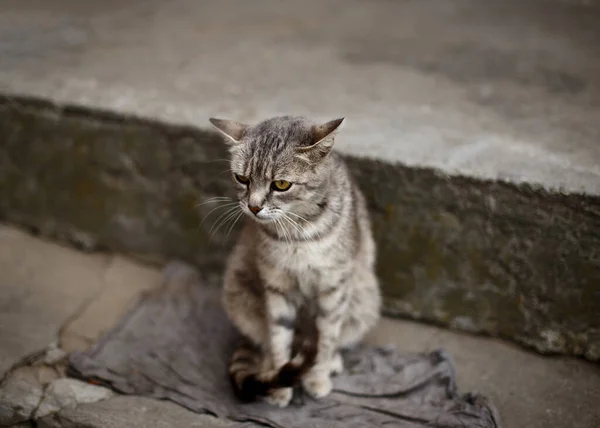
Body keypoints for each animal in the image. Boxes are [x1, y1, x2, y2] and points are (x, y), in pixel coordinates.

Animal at [210, 114, 380, 408]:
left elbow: (327, 337)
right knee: (264, 341)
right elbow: (278, 337)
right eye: (242, 178)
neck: (297, 233)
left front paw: (318, 377)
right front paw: (280, 385)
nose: (253, 207)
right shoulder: (276, 285)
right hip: (239, 292)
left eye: (281, 184)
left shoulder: (334, 287)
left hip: (364, 300)